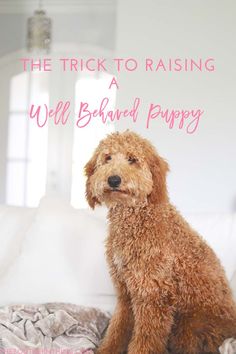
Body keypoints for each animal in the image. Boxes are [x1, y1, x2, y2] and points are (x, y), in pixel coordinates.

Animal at [85, 131, 236, 354]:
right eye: (107, 158)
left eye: (132, 159)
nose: (113, 179)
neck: (136, 218)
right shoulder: (126, 292)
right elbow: (117, 329)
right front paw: (106, 349)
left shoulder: (152, 295)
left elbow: (146, 339)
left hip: (190, 325)